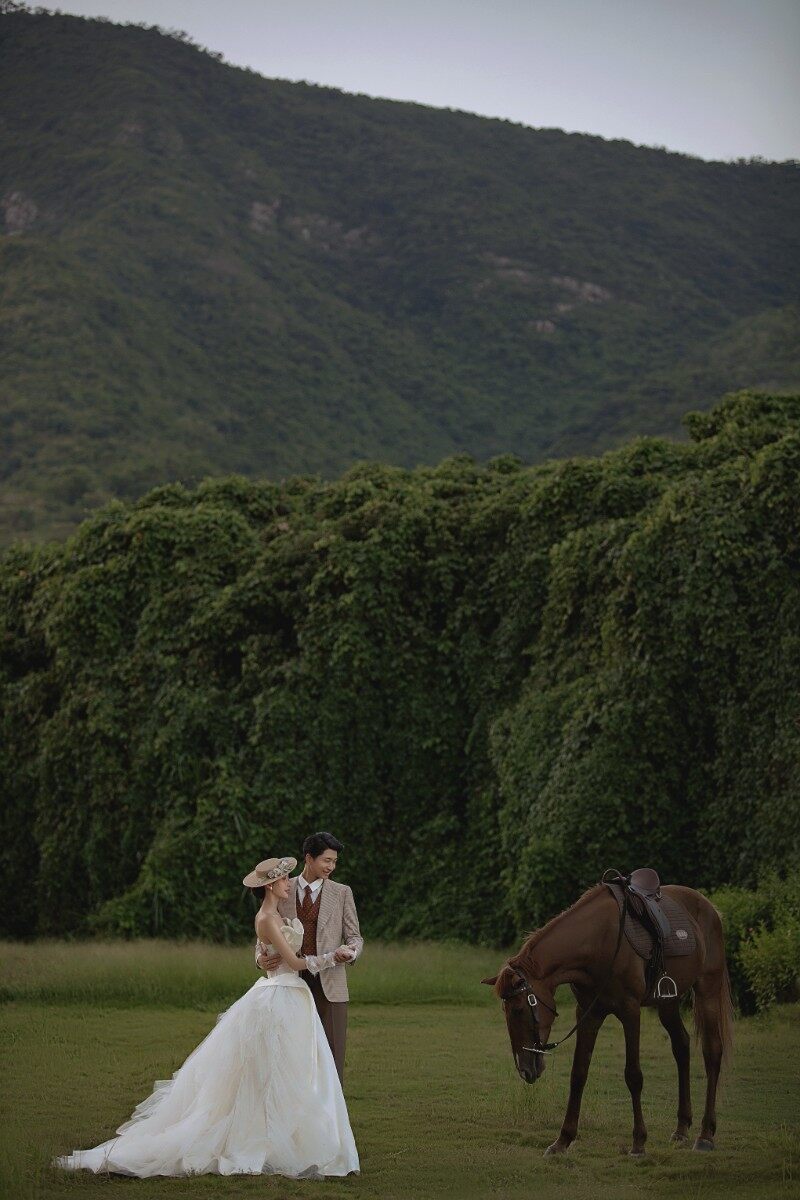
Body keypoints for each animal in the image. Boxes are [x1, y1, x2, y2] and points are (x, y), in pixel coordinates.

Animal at [484, 883, 734, 1152]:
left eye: (518, 1009)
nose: (524, 1070)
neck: (599, 943)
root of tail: (710, 908)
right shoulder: (588, 1013)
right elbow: (578, 1073)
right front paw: (562, 1140)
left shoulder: (630, 1011)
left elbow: (633, 1075)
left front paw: (638, 1142)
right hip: (668, 1002)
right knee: (682, 1046)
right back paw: (681, 1128)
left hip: (708, 990)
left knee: (712, 1052)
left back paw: (705, 1135)